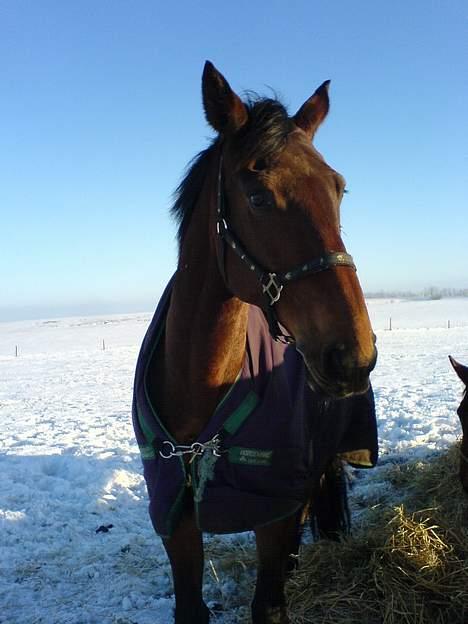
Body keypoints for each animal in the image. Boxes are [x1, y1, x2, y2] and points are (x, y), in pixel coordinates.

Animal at [133, 59, 378, 624]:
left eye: (338, 189)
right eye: (258, 196)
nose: (353, 356)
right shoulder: (175, 517)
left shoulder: (273, 505)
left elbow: (268, 605)